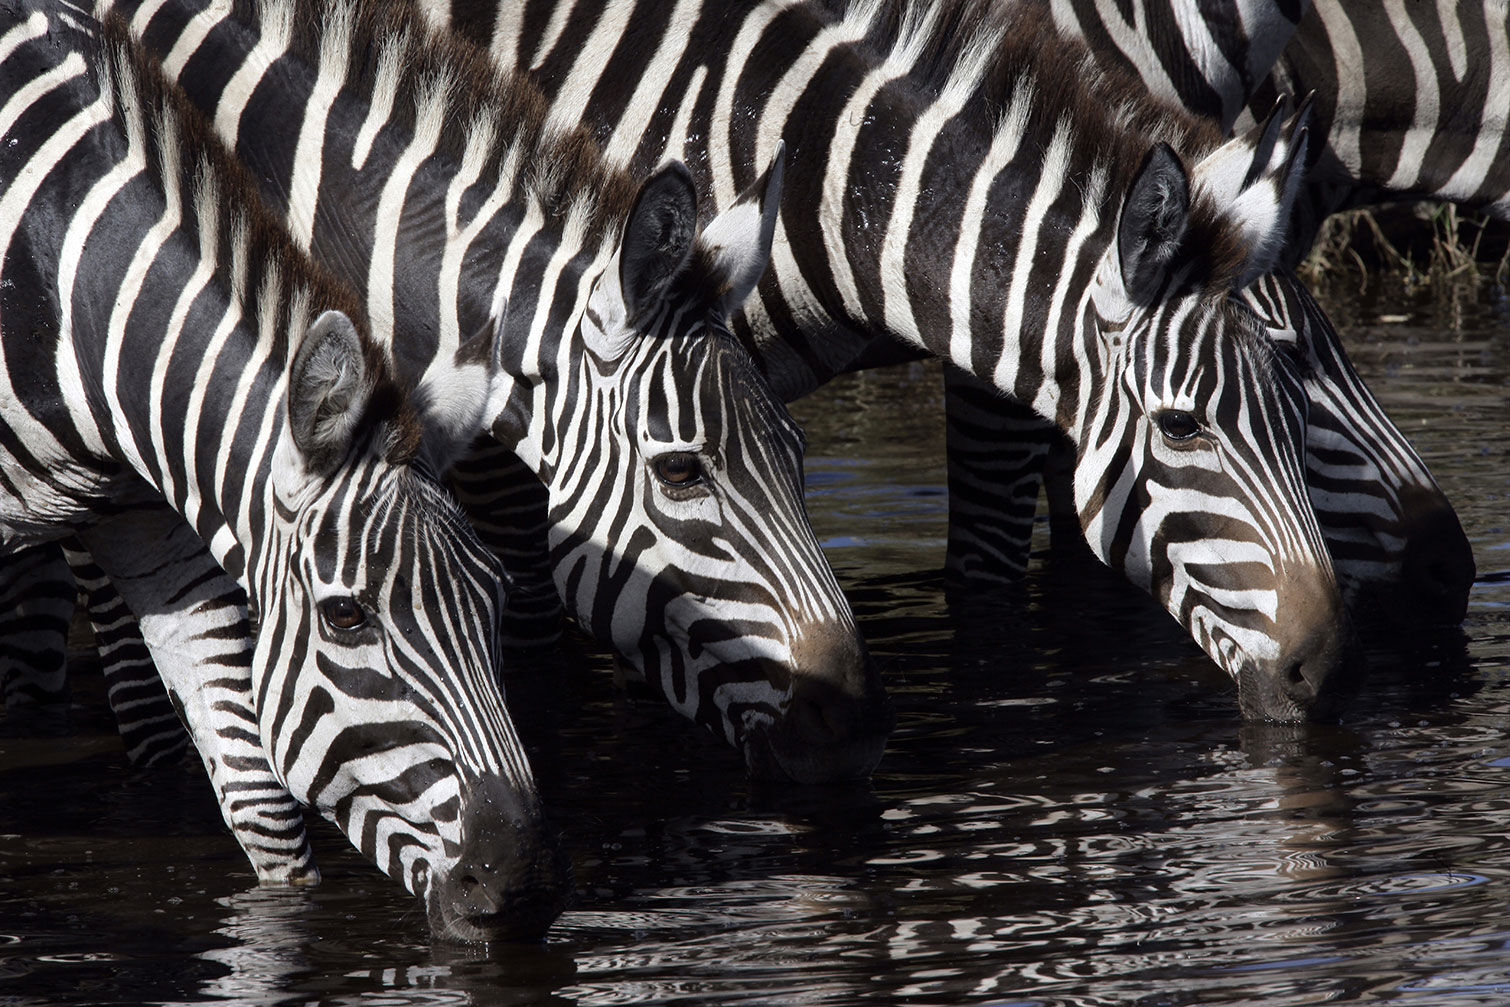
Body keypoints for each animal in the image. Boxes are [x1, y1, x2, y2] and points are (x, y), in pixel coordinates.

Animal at [0, 13, 567, 948]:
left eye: (498, 596)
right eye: (346, 616)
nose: (517, 879)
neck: (62, 295)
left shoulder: (152, 529)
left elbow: (261, 801)